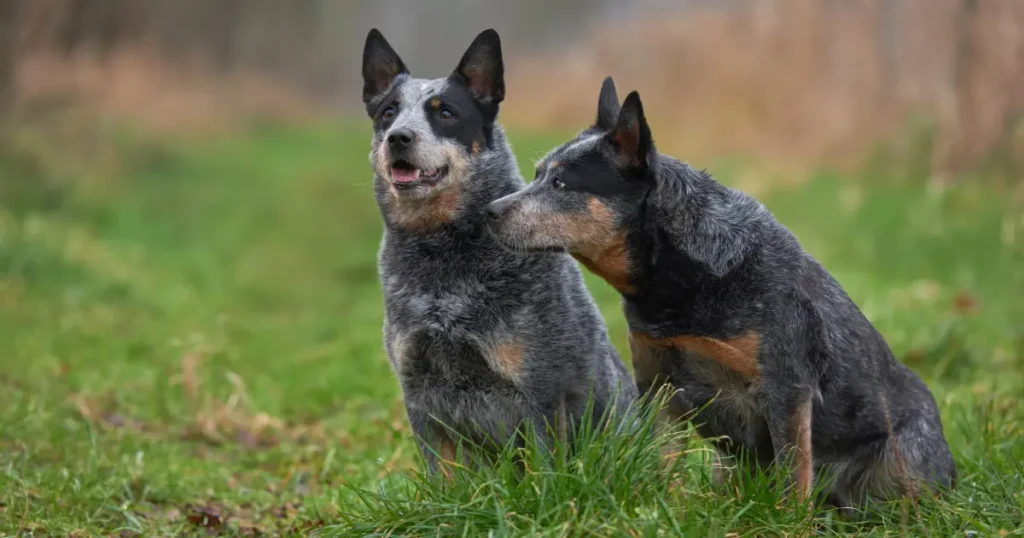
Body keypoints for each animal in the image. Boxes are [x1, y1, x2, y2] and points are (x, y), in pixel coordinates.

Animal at [360, 30, 634, 473]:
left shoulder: (538, 388)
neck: (444, 254)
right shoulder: (419, 393)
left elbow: (544, 468)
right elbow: (442, 477)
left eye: (446, 113)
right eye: (388, 112)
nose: (398, 137)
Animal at [483, 75, 954, 508]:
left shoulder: (786, 386)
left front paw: (789, 523)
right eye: (538, 173)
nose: (490, 210)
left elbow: (793, 473)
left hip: (904, 463)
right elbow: (664, 463)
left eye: (561, 183)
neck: (683, 281)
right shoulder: (657, 385)